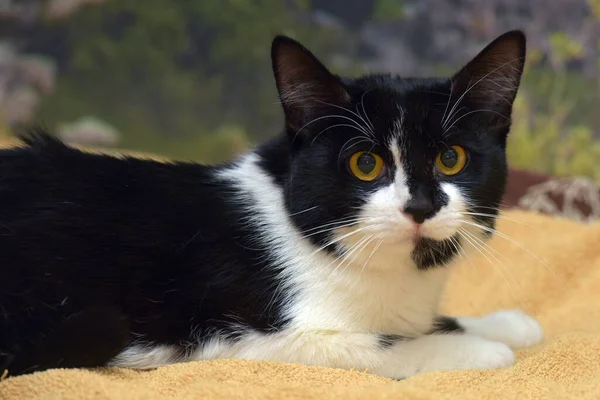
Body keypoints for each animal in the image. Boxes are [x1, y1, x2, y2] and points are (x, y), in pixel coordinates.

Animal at [1, 30, 544, 378]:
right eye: (365, 164)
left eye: (451, 158)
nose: (421, 206)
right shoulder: (237, 336)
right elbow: (370, 345)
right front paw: (477, 348)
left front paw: (500, 323)